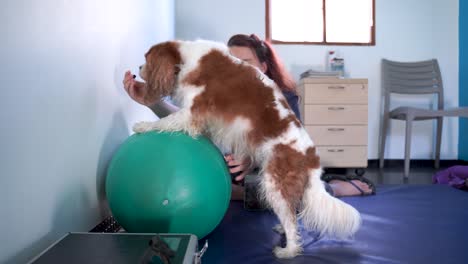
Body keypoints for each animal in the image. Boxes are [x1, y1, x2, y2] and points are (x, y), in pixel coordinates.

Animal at [133, 39, 360, 258]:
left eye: (146, 58)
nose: (138, 67)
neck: (185, 58)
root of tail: (311, 157)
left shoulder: (191, 112)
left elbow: (166, 121)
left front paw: (142, 126)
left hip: (274, 183)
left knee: (291, 220)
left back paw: (288, 250)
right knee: (293, 213)